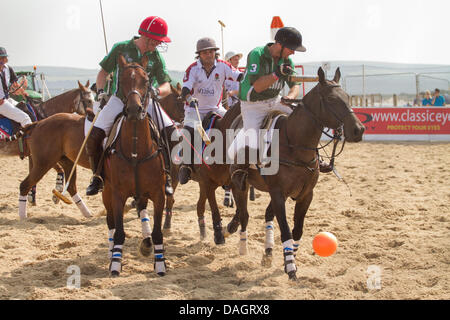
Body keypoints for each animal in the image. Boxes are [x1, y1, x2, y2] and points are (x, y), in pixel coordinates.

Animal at [223, 67, 364, 280]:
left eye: (347, 97)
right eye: (331, 99)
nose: (358, 130)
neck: (295, 147)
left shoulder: (306, 194)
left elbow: (297, 230)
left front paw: (290, 260)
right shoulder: (278, 193)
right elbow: (286, 230)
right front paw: (290, 267)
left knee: (263, 213)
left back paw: (267, 252)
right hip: (242, 182)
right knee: (245, 213)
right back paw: (242, 245)